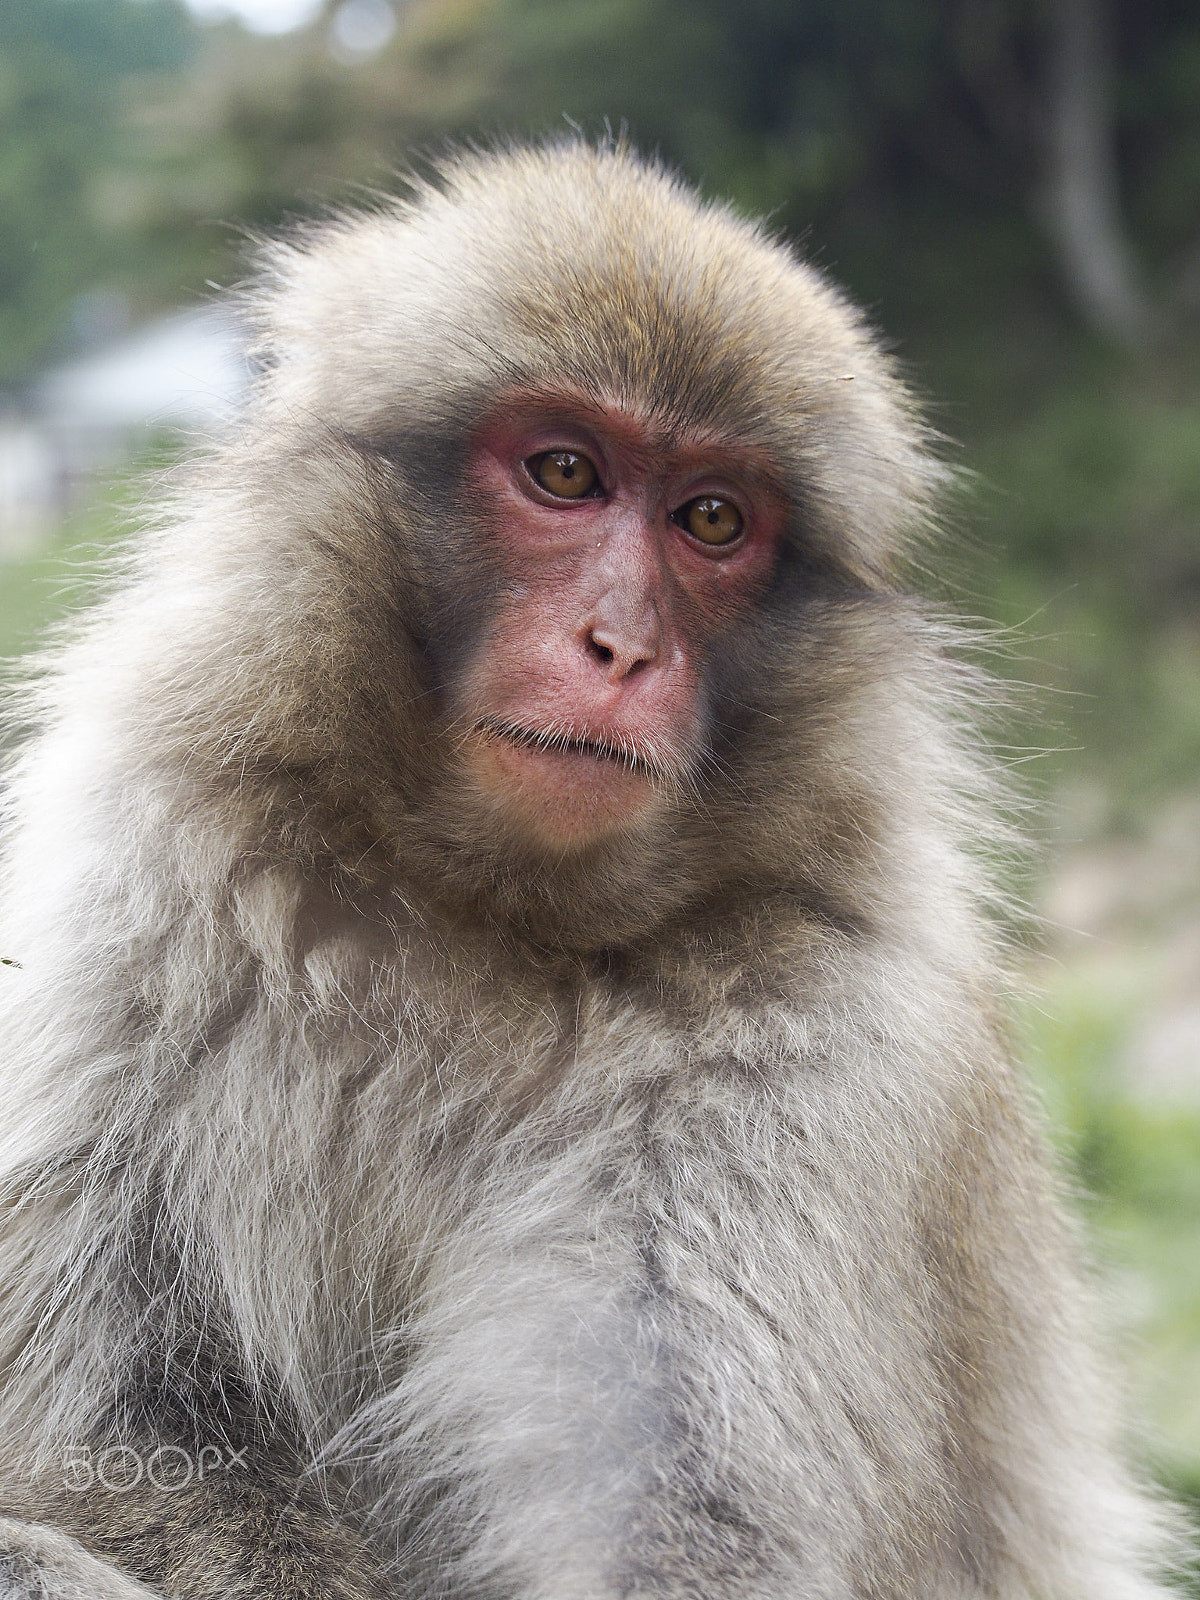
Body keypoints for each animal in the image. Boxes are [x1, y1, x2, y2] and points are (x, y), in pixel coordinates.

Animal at [0, 139, 1187, 1600]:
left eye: (712, 519)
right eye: (565, 473)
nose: (621, 645)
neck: (489, 914)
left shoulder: (820, 1044)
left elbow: (690, 1526)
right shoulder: (140, 877)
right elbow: (121, 1431)